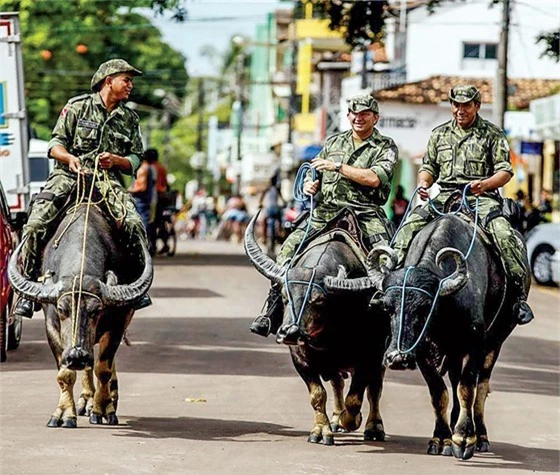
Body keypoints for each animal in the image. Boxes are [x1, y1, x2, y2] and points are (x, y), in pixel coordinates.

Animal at [9, 203, 153, 430]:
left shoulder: (118, 323)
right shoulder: (52, 327)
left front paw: (102, 409)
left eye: (97, 310)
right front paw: (64, 414)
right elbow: (65, 373)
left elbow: (103, 368)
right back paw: (86, 399)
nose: (77, 356)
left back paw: (110, 396)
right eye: (61, 309)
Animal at [245, 210, 390, 444]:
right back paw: (336, 417)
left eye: (319, 301)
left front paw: (352, 420)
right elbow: (318, 395)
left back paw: (373, 427)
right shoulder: (300, 358)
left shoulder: (370, 355)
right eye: (284, 296)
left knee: (374, 389)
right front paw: (321, 430)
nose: (289, 332)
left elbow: (356, 397)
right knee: (337, 383)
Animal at [368, 216, 520, 462]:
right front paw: (441, 438)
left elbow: (468, 388)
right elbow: (439, 391)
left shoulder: (475, 343)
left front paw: (464, 438)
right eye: (388, 308)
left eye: (424, 307)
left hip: (495, 342)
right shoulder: (422, 351)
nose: (398, 358)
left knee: (482, 386)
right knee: (455, 380)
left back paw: (481, 436)